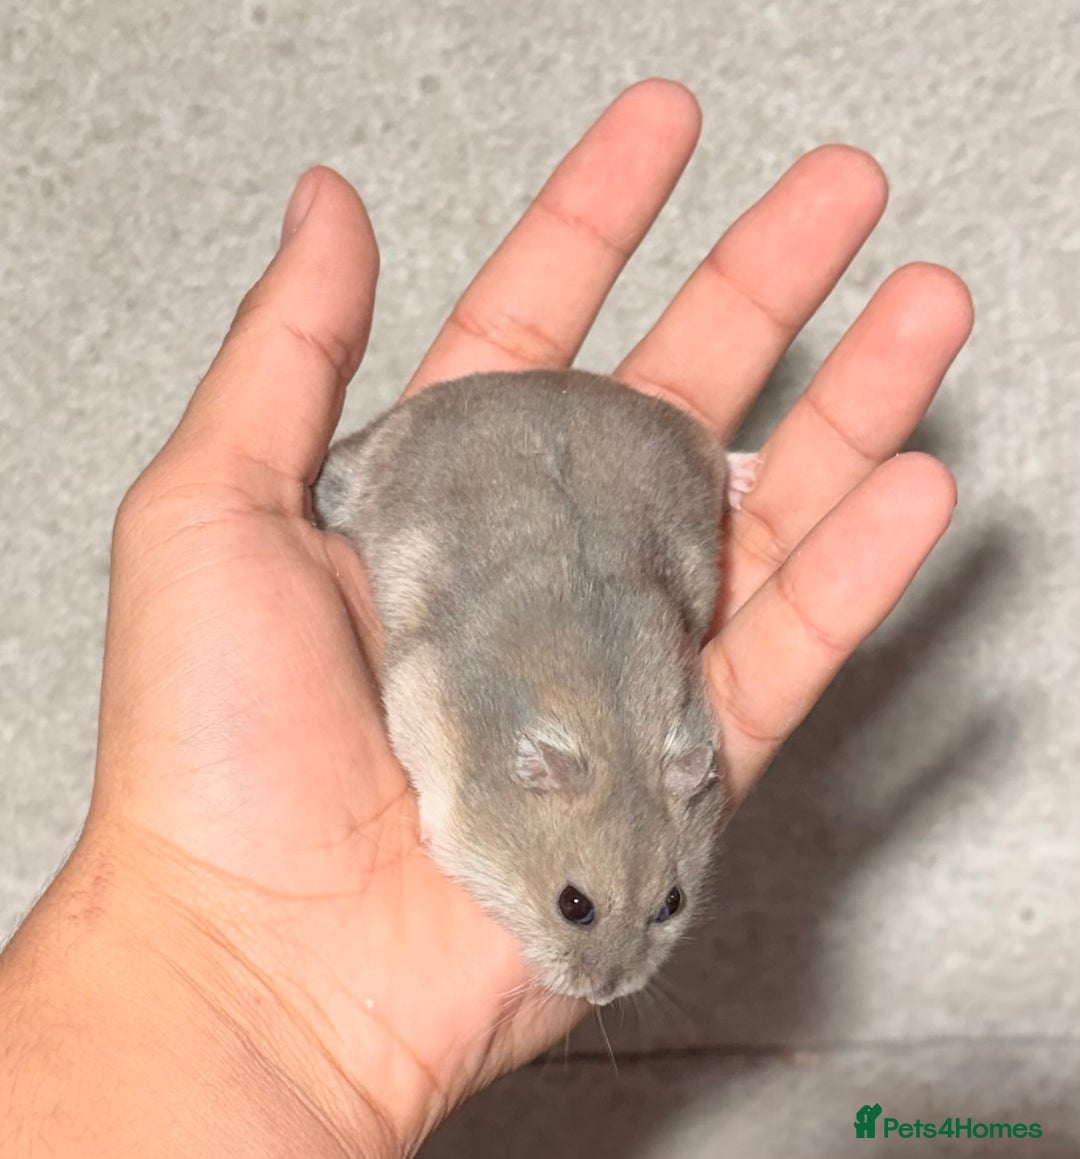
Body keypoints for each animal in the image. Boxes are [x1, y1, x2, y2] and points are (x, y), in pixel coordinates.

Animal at [314, 369, 751, 1005]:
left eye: (672, 904)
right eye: (574, 904)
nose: (605, 994)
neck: (615, 736)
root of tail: (544, 379)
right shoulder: (419, 693)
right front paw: (427, 834)